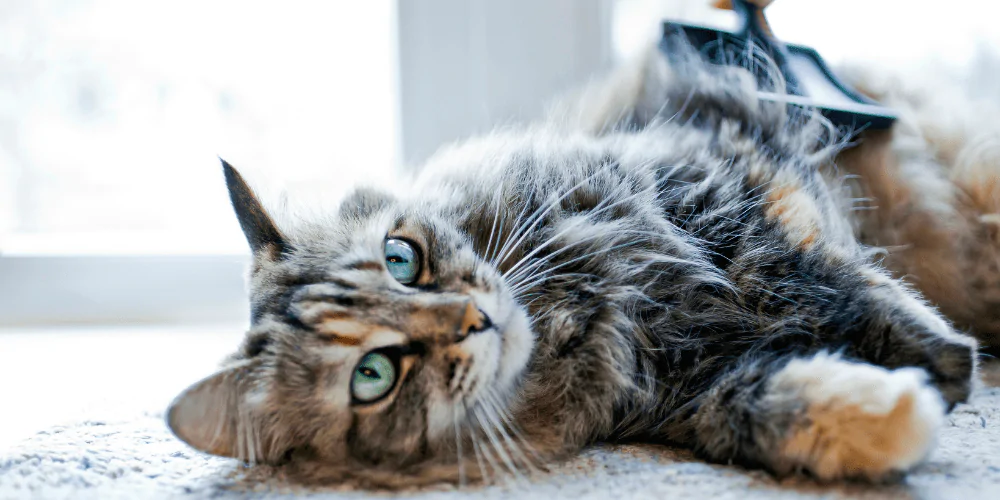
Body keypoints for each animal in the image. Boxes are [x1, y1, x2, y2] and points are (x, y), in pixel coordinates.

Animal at [166, 44, 992, 488]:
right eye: (373, 376)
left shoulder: (721, 183)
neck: (584, 315)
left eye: (401, 260)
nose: (474, 318)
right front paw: (905, 408)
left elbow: (827, 282)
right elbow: (763, 409)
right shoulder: (686, 390)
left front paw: (946, 361)